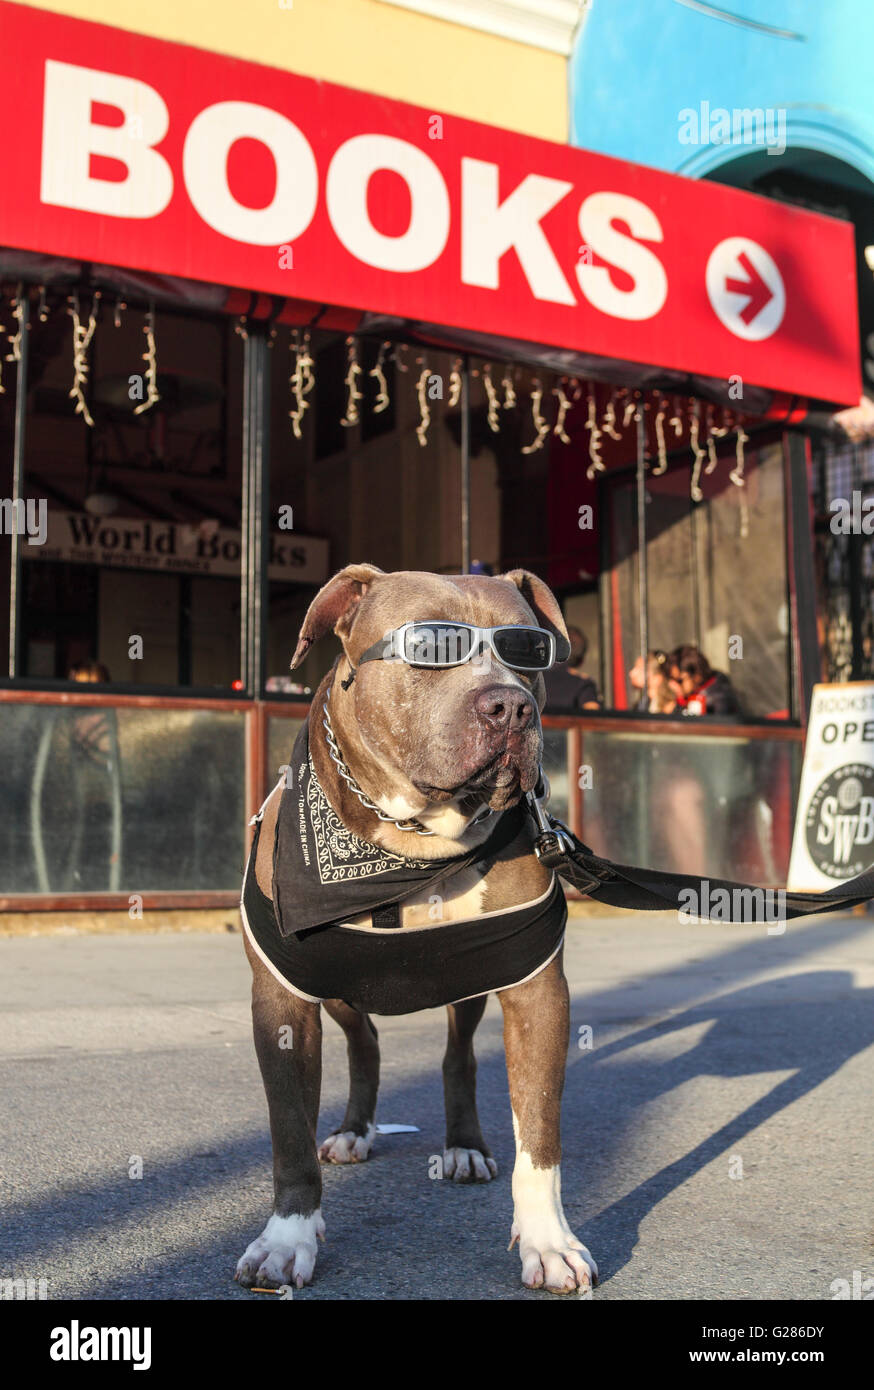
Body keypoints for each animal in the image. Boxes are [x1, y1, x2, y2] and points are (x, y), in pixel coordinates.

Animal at [234, 561, 597, 1289]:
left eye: (529, 651)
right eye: (432, 648)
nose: (510, 706)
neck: (414, 847)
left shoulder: (537, 990)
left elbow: (540, 1132)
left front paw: (550, 1242)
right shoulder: (282, 998)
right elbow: (288, 1133)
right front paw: (289, 1238)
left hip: (472, 984)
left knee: (458, 1058)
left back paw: (463, 1147)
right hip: (339, 991)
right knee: (365, 1044)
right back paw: (354, 1130)